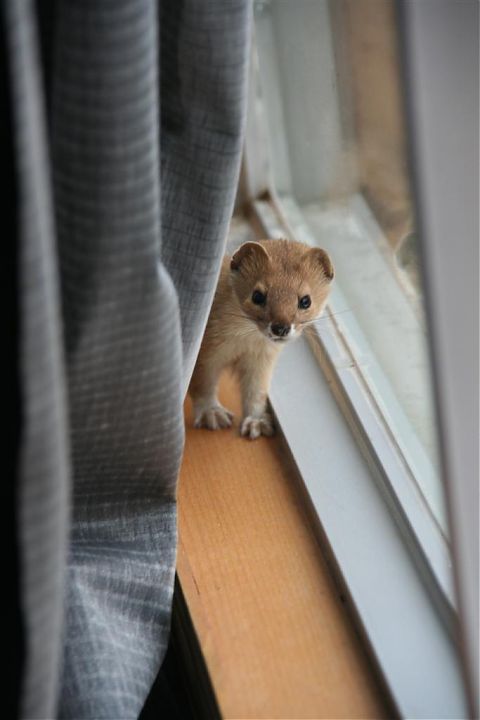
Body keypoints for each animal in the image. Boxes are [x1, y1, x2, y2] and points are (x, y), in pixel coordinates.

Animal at [188, 239, 334, 438]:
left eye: (305, 300)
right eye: (257, 295)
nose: (281, 327)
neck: (242, 343)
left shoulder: (261, 360)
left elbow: (256, 390)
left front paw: (256, 422)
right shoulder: (204, 353)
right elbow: (202, 382)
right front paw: (212, 412)